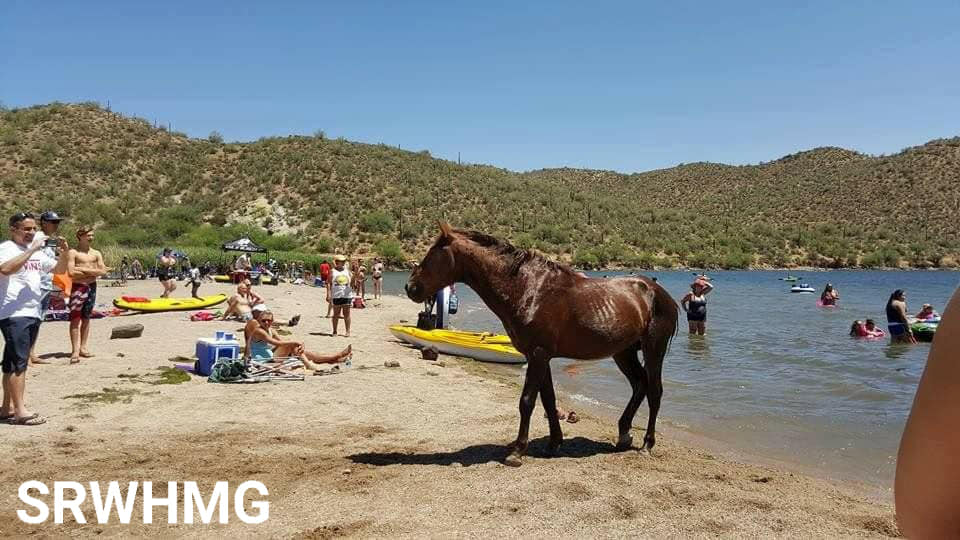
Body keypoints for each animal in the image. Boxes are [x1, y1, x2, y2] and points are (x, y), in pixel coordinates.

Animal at [405, 223, 679, 466]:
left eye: (432, 255)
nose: (410, 287)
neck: (529, 289)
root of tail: (658, 292)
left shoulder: (537, 354)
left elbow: (527, 401)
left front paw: (517, 451)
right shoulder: (540, 356)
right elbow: (548, 399)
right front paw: (554, 442)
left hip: (653, 349)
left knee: (654, 391)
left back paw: (647, 444)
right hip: (623, 352)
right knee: (639, 385)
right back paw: (623, 434)